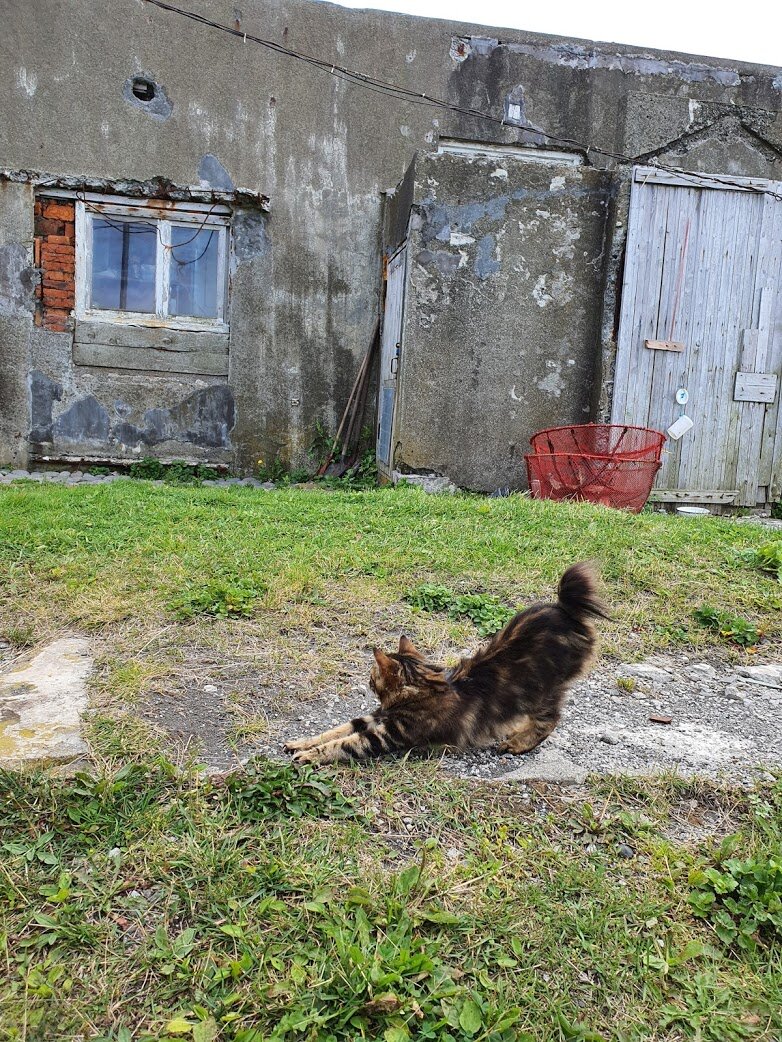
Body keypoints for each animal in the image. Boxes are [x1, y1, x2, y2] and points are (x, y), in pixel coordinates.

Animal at [285, 562, 608, 766]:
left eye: (372, 674)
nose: (366, 680)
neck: (423, 686)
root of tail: (565, 609)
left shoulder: (388, 733)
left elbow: (344, 743)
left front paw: (309, 756)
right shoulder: (376, 717)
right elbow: (335, 730)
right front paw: (301, 742)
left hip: (541, 692)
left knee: (550, 720)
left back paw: (518, 742)